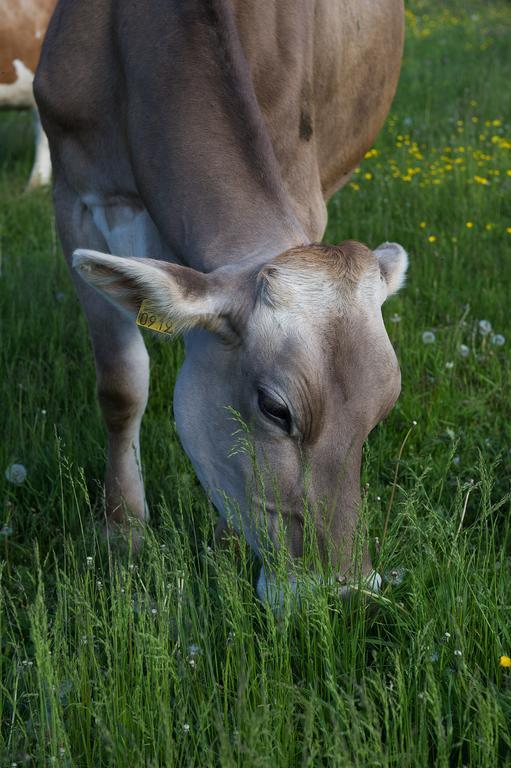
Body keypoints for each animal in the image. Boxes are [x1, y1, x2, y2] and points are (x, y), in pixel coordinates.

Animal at [34, 0, 406, 608]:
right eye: (275, 409)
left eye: (384, 407)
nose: (343, 594)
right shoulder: (79, 198)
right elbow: (121, 386)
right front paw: (122, 531)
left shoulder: (303, 187)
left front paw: (225, 543)